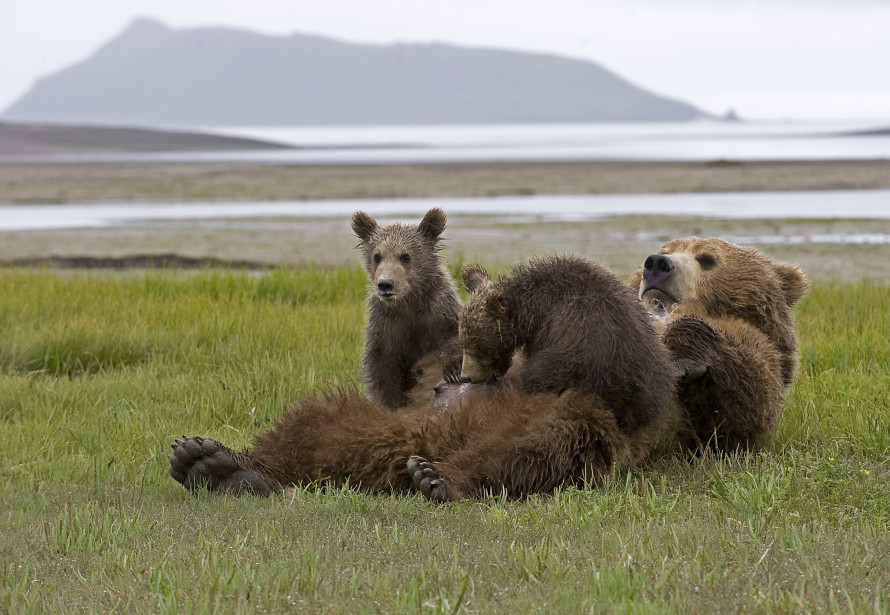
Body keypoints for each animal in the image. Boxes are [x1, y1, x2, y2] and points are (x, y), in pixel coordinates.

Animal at [348, 207, 462, 410]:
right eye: (377, 256)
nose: (385, 284)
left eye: (406, 256)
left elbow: (456, 336)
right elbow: (383, 373)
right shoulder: (386, 326)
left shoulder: (441, 311)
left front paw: (454, 370)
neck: (408, 302)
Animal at [632, 237, 804, 452]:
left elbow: (748, 407)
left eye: (707, 259)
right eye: (664, 250)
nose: (657, 263)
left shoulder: (761, 345)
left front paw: (683, 354)